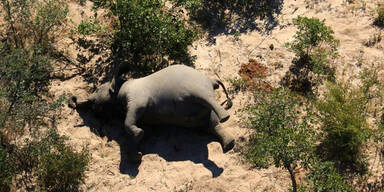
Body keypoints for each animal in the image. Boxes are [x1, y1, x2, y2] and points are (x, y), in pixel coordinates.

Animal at [70, 64, 234, 162]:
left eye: (98, 89)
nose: (73, 99)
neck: (121, 85)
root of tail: (212, 80)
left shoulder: (137, 98)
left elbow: (128, 121)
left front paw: (139, 135)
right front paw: (137, 154)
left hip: (197, 86)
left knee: (206, 99)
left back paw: (226, 117)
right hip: (201, 113)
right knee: (211, 125)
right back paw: (229, 144)